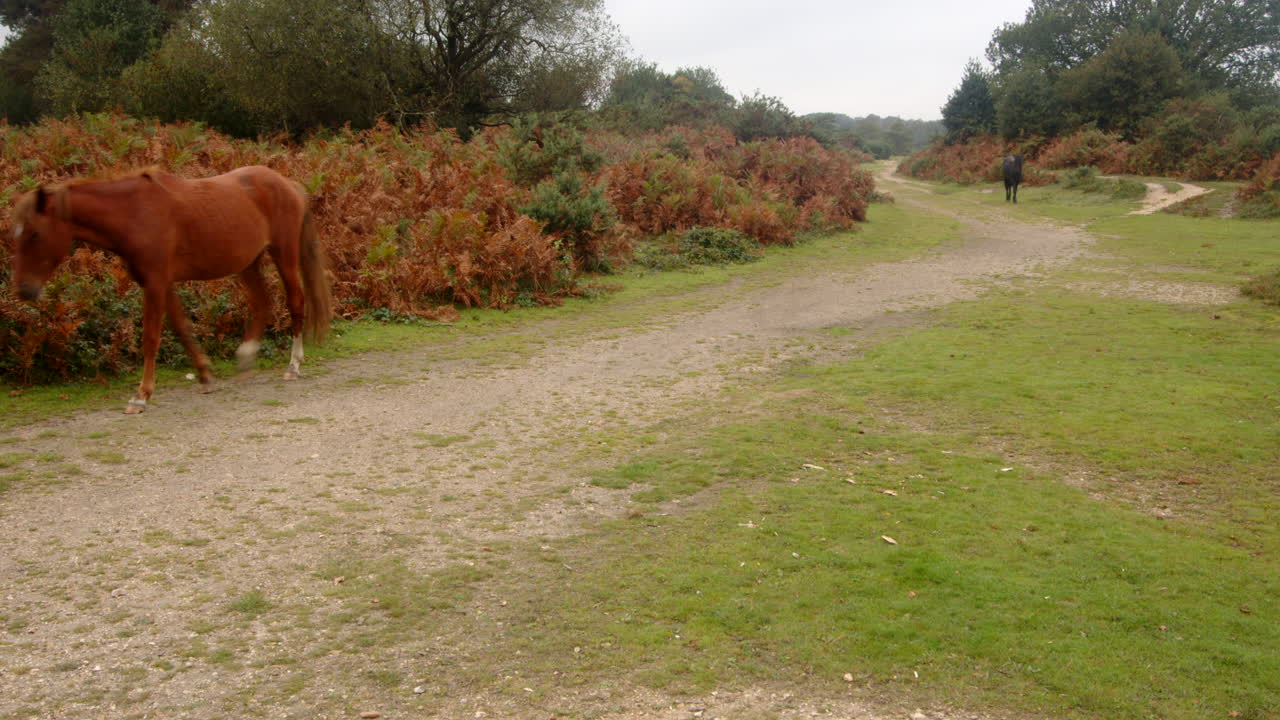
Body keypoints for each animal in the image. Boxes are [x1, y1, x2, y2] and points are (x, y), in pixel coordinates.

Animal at [10, 165, 332, 414]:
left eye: (35, 234)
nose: (24, 291)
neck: (134, 213)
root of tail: (288, 185)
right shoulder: (161, 283)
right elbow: (181, 329)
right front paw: (205, 376)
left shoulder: (155, 283)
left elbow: (150, 338)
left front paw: (140, 396)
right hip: (248, 262)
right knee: (262, 303)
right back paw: (246, 357)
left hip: (283, 254)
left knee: (295, 302)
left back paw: (293, 365)